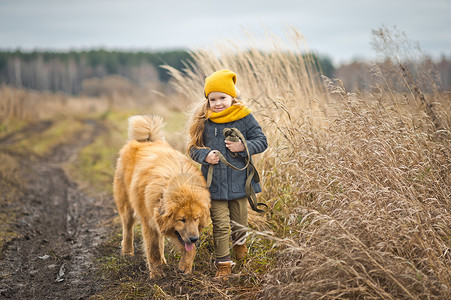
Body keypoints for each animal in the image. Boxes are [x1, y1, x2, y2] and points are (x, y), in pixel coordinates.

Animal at [114, 113, 211, 278]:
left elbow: (188, 250)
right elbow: (152, 250)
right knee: (127, 230)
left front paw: (185, 267)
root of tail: (146, 140)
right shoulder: (149, 222)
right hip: (127, 207)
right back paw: (127, 252)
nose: (194, 238)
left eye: (196, 218)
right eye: (182, 219)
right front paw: (157, 275)